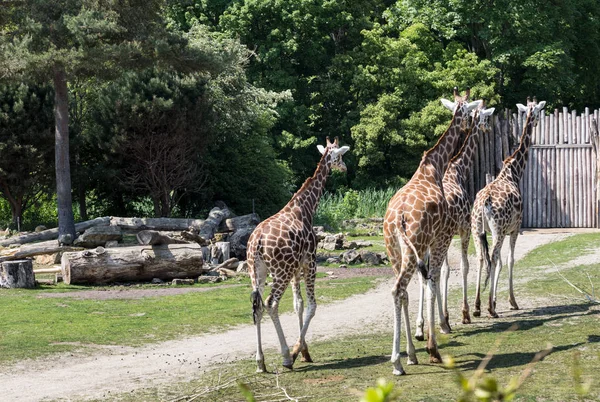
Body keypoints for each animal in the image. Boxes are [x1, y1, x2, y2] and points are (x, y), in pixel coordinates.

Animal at [248, 137, 352, 372]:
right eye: (340, 155)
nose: (345, 168)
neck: (306, 207)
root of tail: (257, 242)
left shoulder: (296, 268)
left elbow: (298, 305)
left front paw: (304, 351)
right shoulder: (310, 262)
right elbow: (312, 306)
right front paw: (297, 351)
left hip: (257, 272)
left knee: (258, 307)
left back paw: (260, 362)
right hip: (281, 272)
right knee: (271, 303)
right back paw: (286, 357)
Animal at [384, 88, 482, 376]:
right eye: (470, 111)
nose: (471, 124)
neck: (435, 166)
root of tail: (398, 218)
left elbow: (428, 280)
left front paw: (421, 345)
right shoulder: (440, 237)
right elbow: (434, 278)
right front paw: (433, 347)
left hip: (394, 250)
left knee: (401, 291)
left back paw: (408, 356)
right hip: (413, 246)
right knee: (399, 289)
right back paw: (397, 362)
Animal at [414, 103, 494, 340]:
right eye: (486, 116)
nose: (488, 127)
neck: (457, 169)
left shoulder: (448, 236)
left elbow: (445, 271)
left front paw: (445, 317)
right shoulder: (463, 229)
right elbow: (463, 267)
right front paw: (464, 313)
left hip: (427, 241)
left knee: (423, 274)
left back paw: (420, 327)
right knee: (430, 273)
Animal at [472, 96, 548, 318]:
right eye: (537, 111)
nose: (537, 121)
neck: (514, 171)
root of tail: (484, 203)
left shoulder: (503, 231)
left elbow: (498, 263)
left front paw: (496, 301)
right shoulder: (515, 228)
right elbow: (510, 260)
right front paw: (511, 302)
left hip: (476, 229)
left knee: (481, 258)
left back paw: (476, 307)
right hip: (497, 230)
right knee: (494, 257)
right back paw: (490, 309)